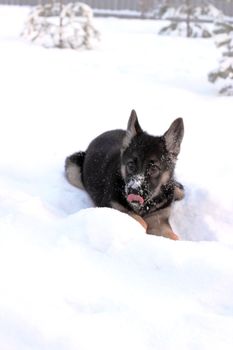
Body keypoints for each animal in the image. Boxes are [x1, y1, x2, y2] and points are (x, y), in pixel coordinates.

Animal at [65, 110, 184, 239]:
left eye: (153, 169)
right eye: (131, 165)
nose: (134, 191)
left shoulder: (160, 220)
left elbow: (174, 237)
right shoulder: (112, 207)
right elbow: (140, 220)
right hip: (73, 170)